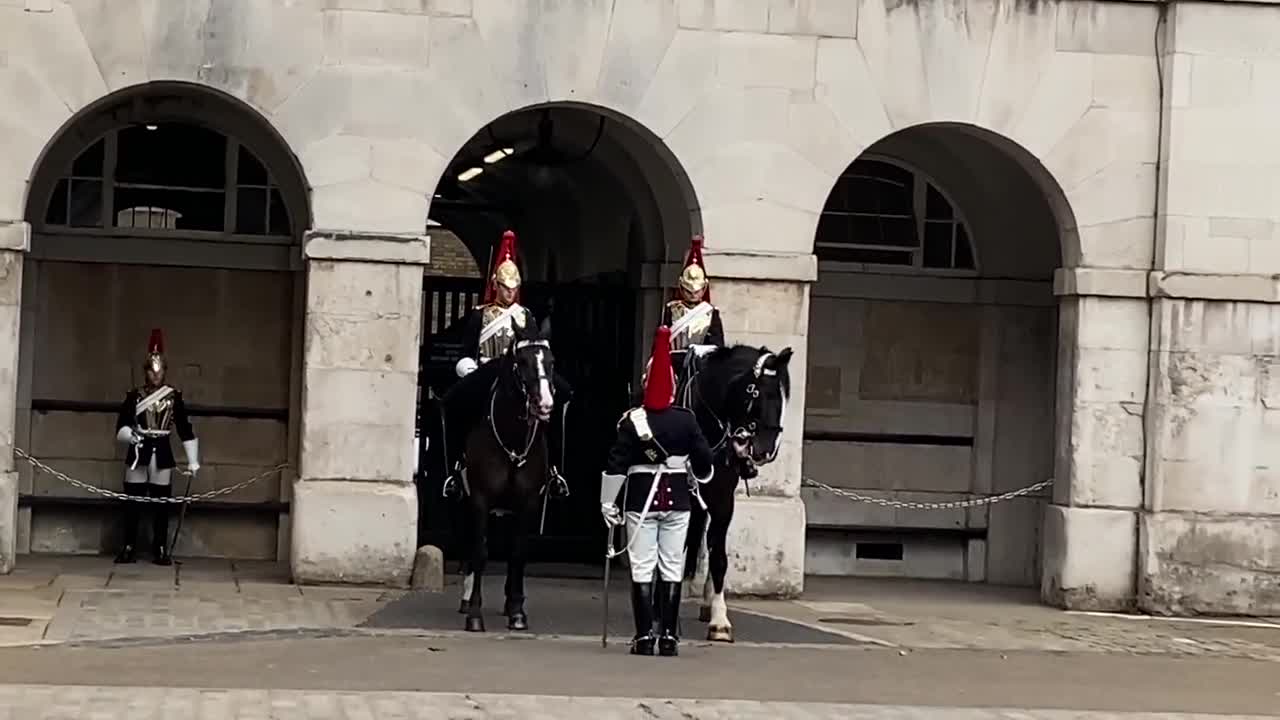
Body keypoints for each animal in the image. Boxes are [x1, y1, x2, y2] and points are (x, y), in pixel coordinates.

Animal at [450, 319, 555, 627]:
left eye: (551, 362)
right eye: (522, 361)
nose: (544, 404)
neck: (512, 439)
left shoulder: (528, 501)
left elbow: (517, 553)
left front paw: (517, 611)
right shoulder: (479, 498)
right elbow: (481, 551)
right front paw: (474, 613)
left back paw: (511, 600)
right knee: (469, 543)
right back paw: (467, 597)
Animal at [680, 340, 788, 638]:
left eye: (783, 397)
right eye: (756, 393)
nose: (766, 451)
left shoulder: (723, 498)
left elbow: (719, 556)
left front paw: (719, 619)